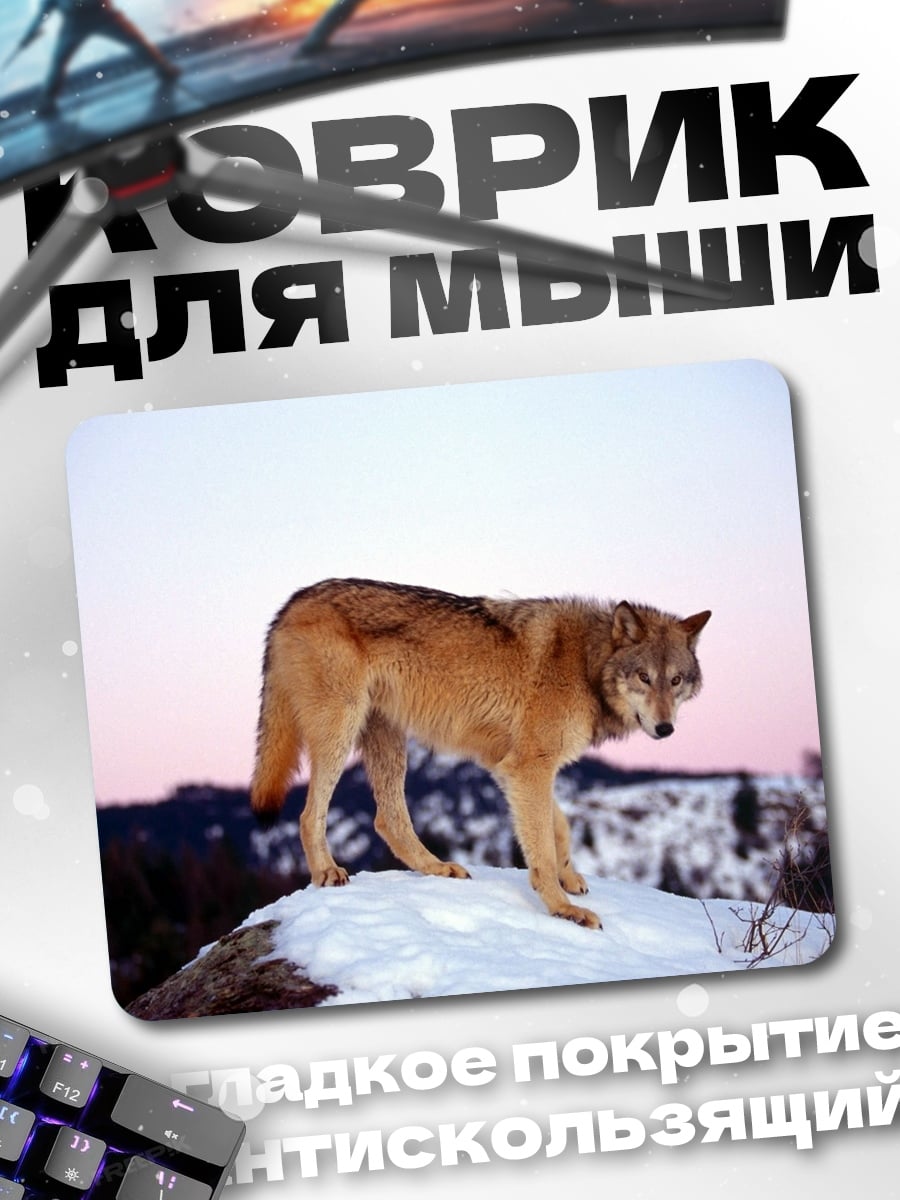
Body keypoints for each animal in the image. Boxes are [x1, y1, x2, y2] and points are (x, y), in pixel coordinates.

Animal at [250, 578, 711, 929]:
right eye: (644, 677)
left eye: (675, 680)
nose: (665, 728)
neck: (586, 663)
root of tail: (291, 602)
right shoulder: (529, 768)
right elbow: (542, 846)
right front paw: (563, 909)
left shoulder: (513, 768)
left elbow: (558, 826)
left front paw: (569, 877)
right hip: (341, 730)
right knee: (310, 814)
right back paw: (327, 872)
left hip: (387, 737)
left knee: (388, 820)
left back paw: (437, 868)